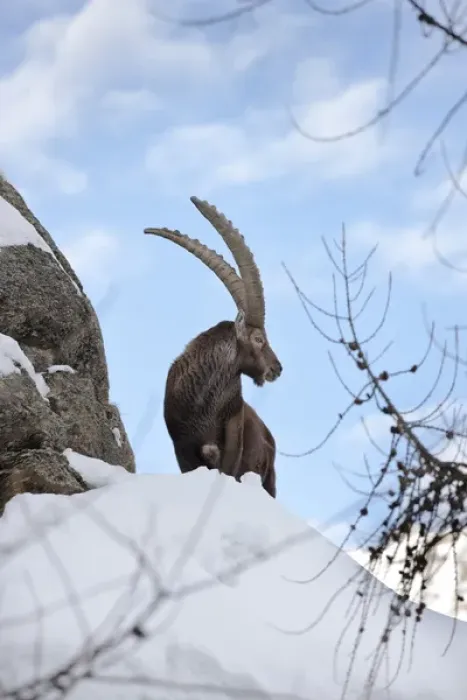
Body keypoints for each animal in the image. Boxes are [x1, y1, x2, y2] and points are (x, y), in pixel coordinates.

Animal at [144, 196, 281, 496]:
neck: (204, 403)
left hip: (269, 478)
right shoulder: (182, 447)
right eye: (259, 339)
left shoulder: (232, 440)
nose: (277, 368)